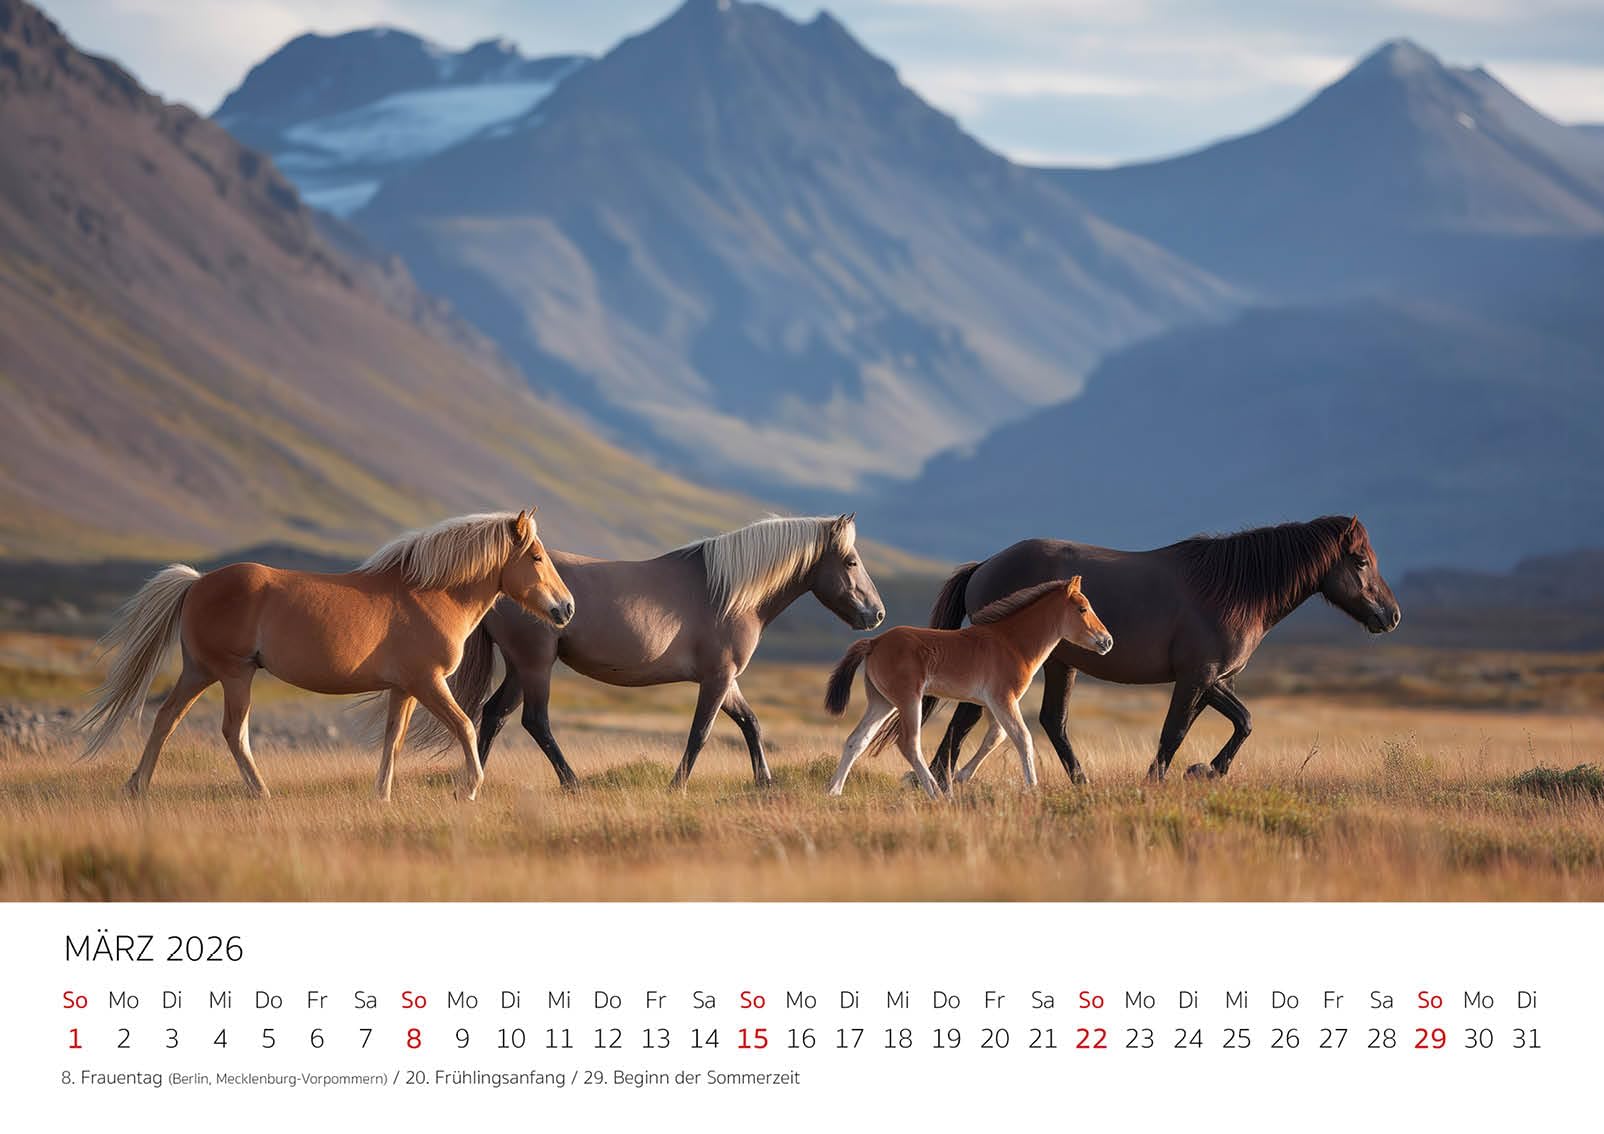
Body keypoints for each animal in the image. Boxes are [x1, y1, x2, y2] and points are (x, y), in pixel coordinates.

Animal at [78, 511, 574, 802]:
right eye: (536, 556)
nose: (566, 608)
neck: (428, 594)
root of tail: (198, 582)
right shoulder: (428, 684)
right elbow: (466, 727)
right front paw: (469, 789)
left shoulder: (404, 690)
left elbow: (392, 741)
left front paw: (382, 797)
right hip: (233, 675)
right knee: (233, 732)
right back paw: (261, 793)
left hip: (200, 672)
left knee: (167, 718)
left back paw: (137, 787)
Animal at [446, 514, 885, 790]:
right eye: (851, 561)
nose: (877, 613)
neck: (726, 592)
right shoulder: (718, 678)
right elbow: (701, 733)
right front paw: (678, 785)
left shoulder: (727, 680)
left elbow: (751, 723)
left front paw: (765, 782)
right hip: (536, 664)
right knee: (535, 722)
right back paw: (572, 783)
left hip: (520, 668)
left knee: (494, 715)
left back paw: (474, 782)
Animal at [823, 577, 1113, 799]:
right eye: (1082, 609)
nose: (1107, 641)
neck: (1011, 644)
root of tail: (874, 642)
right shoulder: (1002, 699)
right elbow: (1022, 738)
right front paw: (1032, 788)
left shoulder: (992, 703)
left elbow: (997, 737)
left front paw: (962, 776)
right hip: (908, 700)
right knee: (908, 743)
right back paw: (935, 792)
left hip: (882, 702)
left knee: (856, 740)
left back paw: (834, 791)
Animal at [921, 516, 1401, 788]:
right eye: (1360, 561)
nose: (1391, 615)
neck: (1231, 591)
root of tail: (984, 566)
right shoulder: (1197, 677)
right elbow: (1176, 732)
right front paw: (1162, 780)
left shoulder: (1213, 681)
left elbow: (1240, 722)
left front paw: (1204, 771)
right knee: (968, 718)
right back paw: (941, 779)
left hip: (1060, 663)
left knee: (1050, 722)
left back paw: (1079, 784)